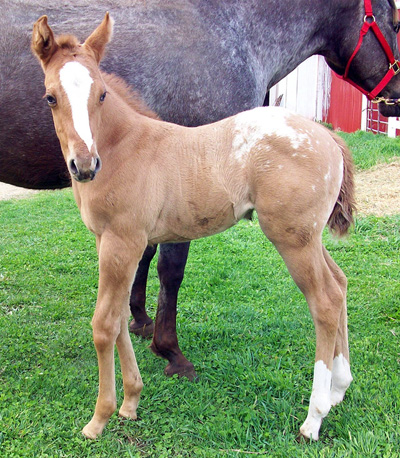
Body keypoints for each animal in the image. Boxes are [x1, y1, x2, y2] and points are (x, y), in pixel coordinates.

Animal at [32, 14, 356, 442]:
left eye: (101, 94)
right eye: (50, 97)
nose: (84, 166)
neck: (122, 148)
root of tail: (329, 137)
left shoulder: (123, 241)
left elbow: (103, 324)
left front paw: (99, 418)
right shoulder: (109, 242)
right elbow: (119, 321)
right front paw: (131, 403)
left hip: (293, 239)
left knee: (325, 302)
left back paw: (314, 418)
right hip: (310, 237)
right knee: (340, 283)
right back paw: (339, 389)